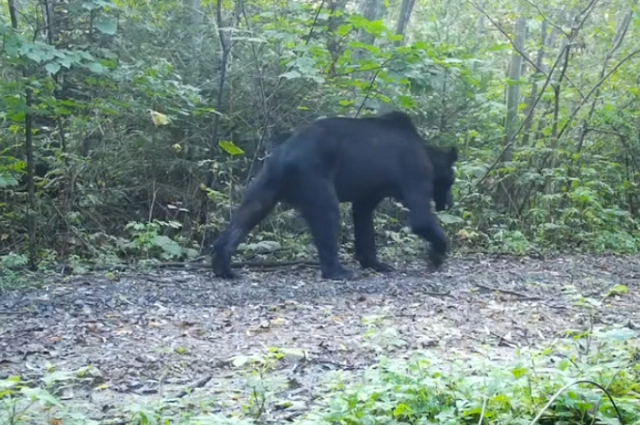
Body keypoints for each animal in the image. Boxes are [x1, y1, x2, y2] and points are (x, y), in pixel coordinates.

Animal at [212, 111, 458, 280]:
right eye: (451, 181)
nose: (449, 203)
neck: (427, 154)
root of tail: (284, 156)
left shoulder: (368, 192)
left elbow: (363, 219)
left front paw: (375, 262)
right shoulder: (414, 172)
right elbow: (421, 219)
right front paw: (436, 256)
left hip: (267, 182)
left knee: (247, 213)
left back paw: (223, 264)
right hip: (314, 177)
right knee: (327, 215)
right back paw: (338, 270)